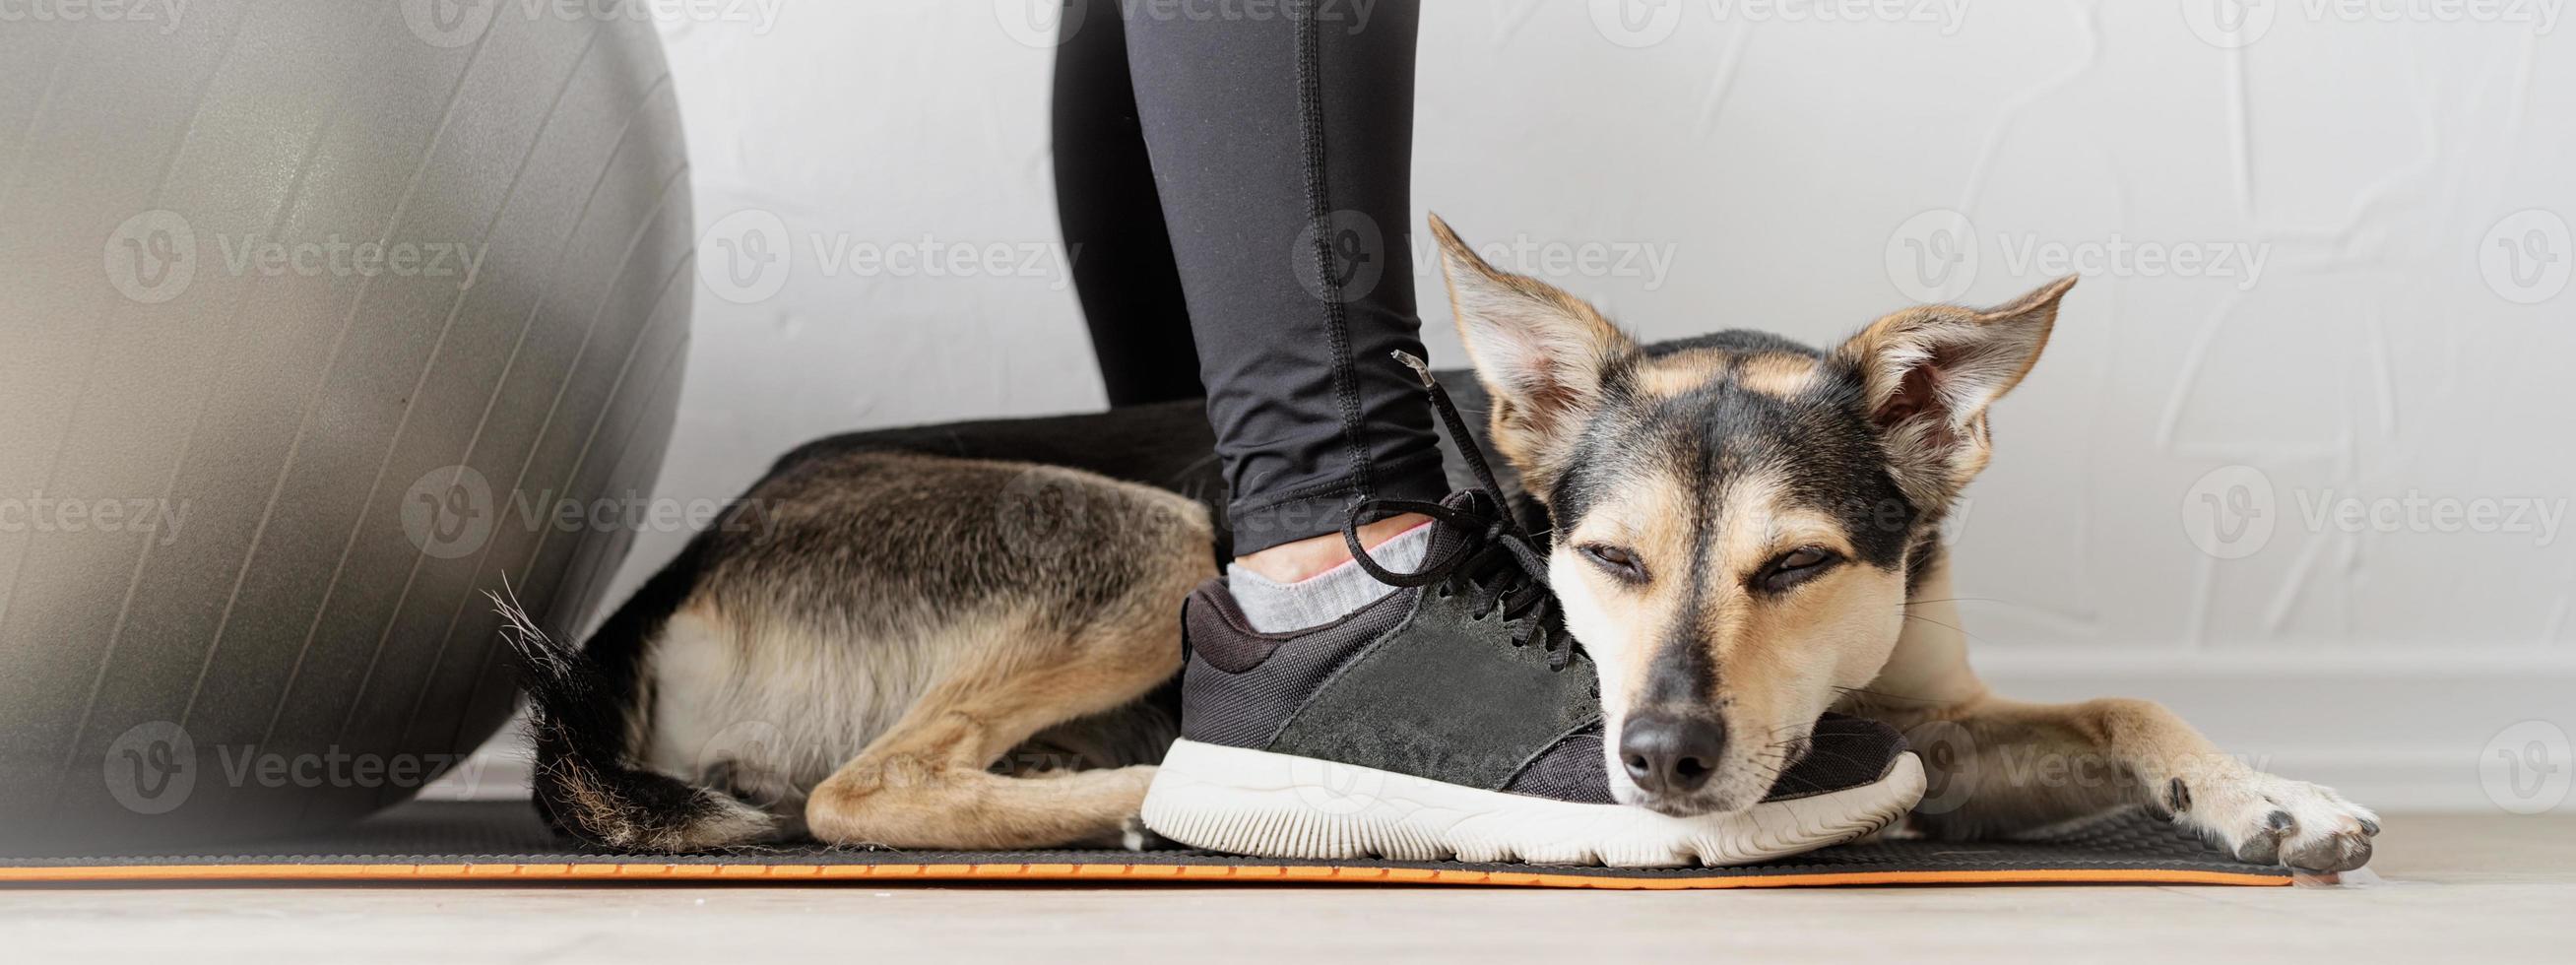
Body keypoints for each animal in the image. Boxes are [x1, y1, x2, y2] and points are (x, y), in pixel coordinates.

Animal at [502, 215, 2369, 874]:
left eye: (1793, 570)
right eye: (1602, 564)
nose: (1663, 759)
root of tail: (664, 584)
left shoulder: (1928, 721)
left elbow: (2127, 704)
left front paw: (2267, 796)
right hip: (1145, 536)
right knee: (863, 793)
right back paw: (1149, 795)